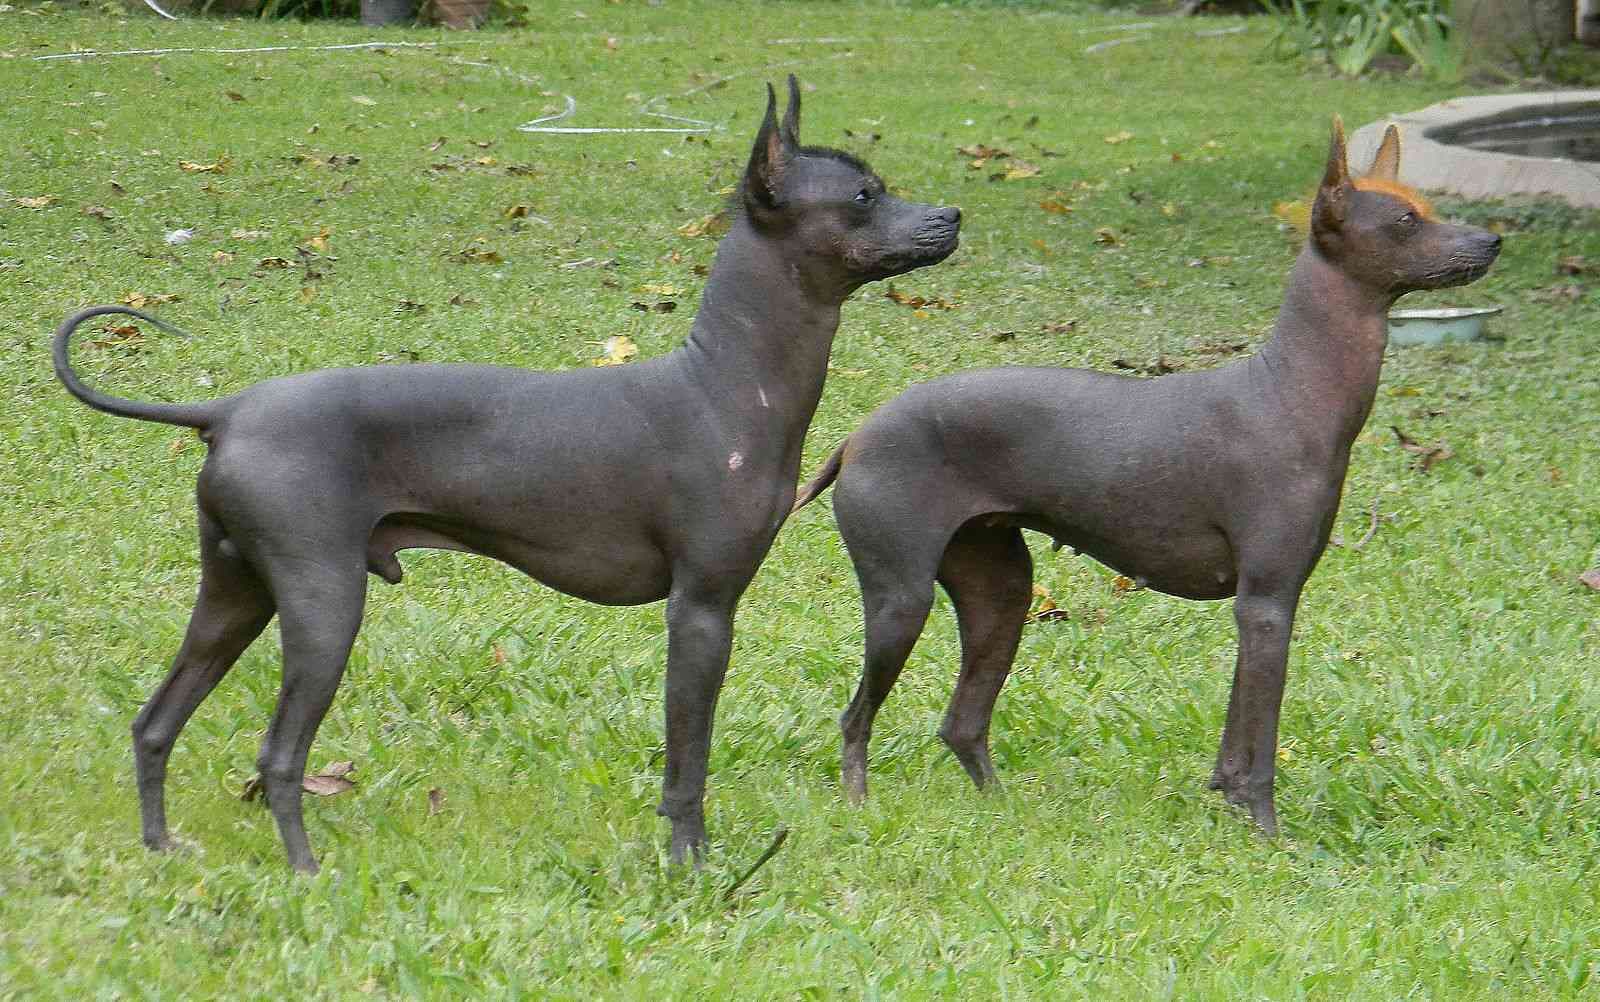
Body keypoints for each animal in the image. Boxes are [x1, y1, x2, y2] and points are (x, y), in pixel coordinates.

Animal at [56, 78, 960, 870]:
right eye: (864, 197)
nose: (951, 215)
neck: (724, 381)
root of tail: (231, 409)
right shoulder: (701, 612)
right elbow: (688, 763)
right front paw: (691, 863)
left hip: (236, 594)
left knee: (154, 723)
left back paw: (161, 847)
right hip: (322, 600)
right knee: (278, 754)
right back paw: (305, 870)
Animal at [793, 115, 1504, 832]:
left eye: (1428, 207)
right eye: (1406, 221)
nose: (1493, 240)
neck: (1288, 388)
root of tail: (857, 435)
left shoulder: (1263, 608)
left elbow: (1234, 742)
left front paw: (1229, 802)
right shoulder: (1267, 604)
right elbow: (1262, 747)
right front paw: (1268, 834)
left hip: (1001, 593)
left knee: (961, 724)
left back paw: (1005, 811)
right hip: (902, 600)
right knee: (856, 718)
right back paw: (859, 805)